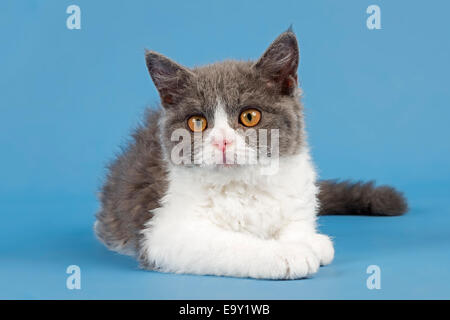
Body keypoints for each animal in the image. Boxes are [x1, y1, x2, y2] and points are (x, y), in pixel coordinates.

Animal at [95, 30, 408, 280]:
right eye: (197, 122)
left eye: (249, 116)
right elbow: (228, 244)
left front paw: (306, 243)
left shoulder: (298, 189)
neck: (246, 184)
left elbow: (297, 225)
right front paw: (287, 254)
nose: (222, 141)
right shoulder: (162, 230)